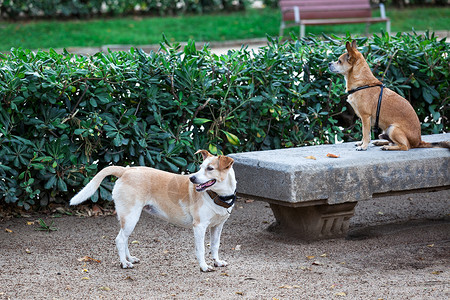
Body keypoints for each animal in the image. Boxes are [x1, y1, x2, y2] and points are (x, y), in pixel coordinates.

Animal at [69, 150, 236, 272]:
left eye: (210, 169)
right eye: (200, 167)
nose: (192, 178)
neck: (217, 195)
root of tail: (126, 170)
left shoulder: (217, 226)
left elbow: (214, 245)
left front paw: (217, 262)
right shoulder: (199, 227)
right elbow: (201, 249)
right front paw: (204, 266)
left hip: (129, 218)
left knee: (125, 238)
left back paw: (129, 258)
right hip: (131, 217)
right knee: (120, 239)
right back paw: (124, 263)